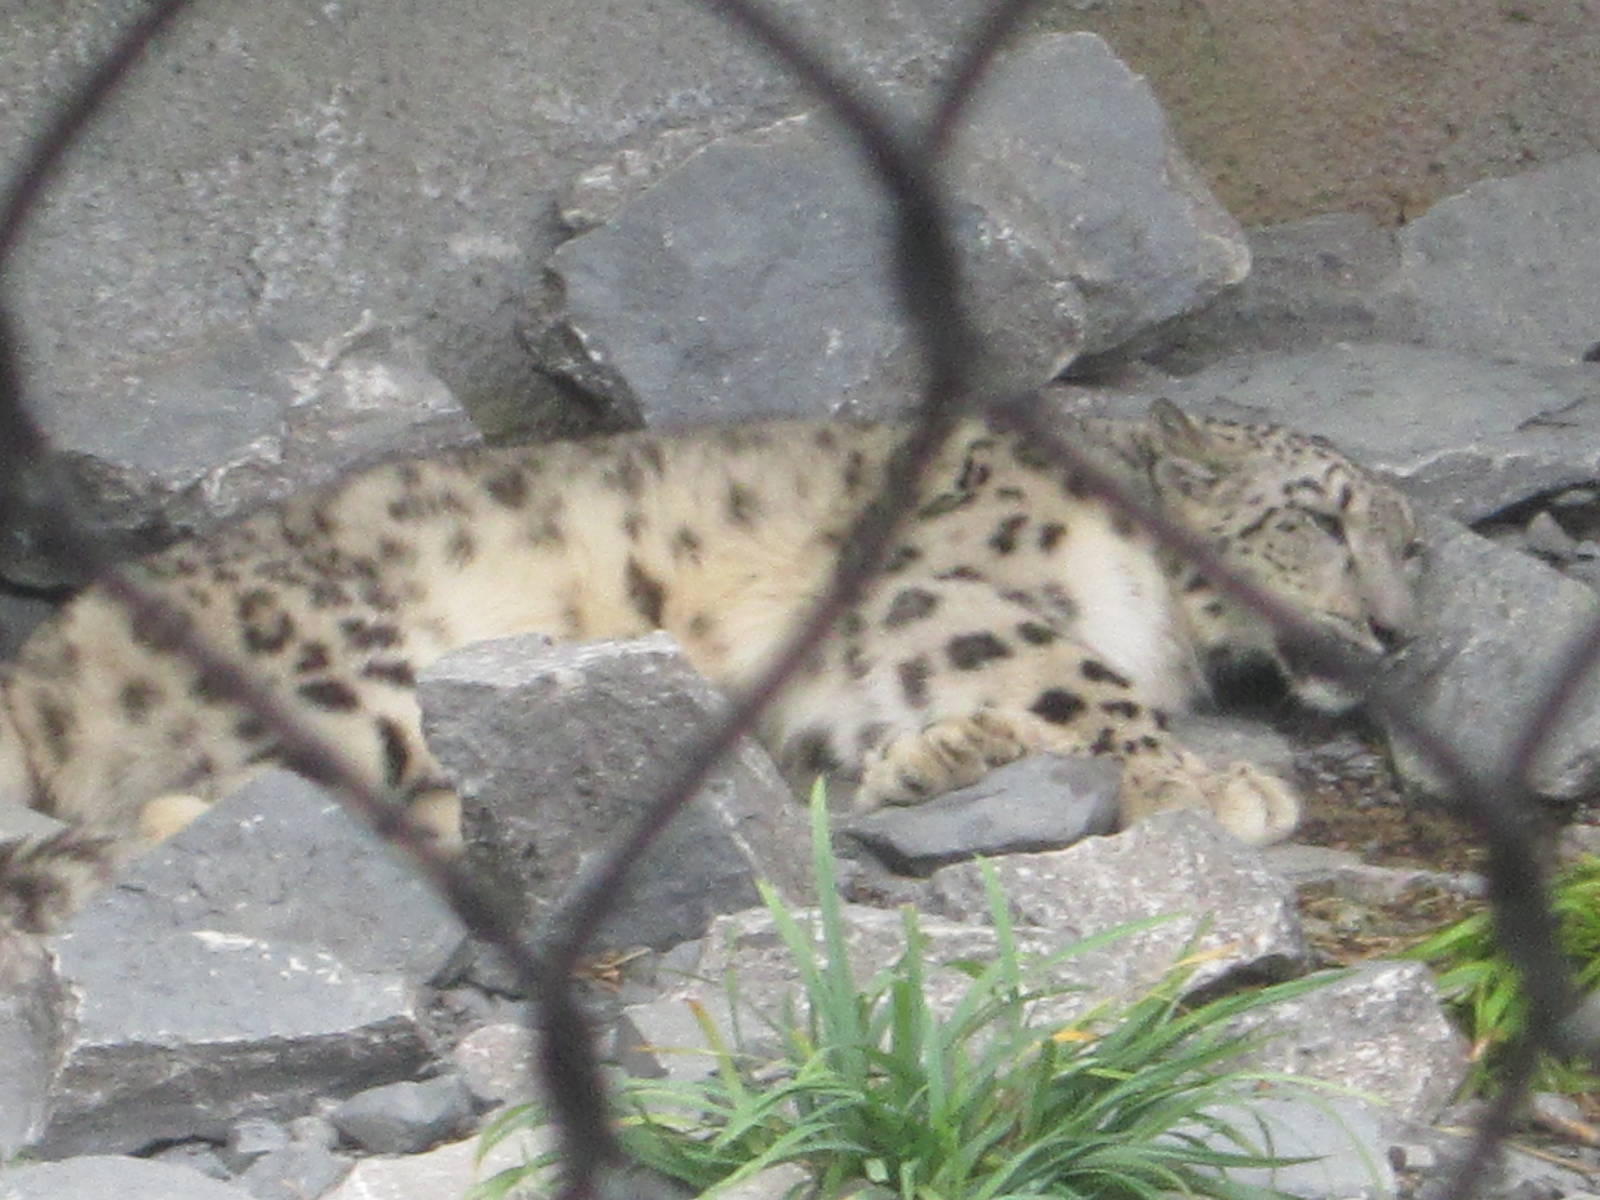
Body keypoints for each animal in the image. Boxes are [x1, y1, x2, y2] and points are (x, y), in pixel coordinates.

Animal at [0, 399, 1420, 932]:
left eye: (1409, 546)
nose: (1400, 631)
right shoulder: (925, 593)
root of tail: (54, 649)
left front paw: (942, 753)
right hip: (350, 669)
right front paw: (1211, 784)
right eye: (1318, 517)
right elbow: (1070, 667)